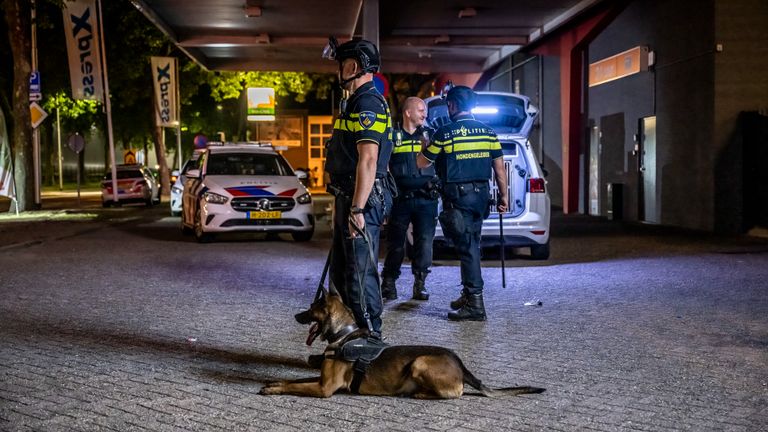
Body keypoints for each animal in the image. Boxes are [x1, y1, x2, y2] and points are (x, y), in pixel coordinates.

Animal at [260, 288, 544, 400]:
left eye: (310, 309)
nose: (296, 316)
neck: (344, 334)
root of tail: (461, 364)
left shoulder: (324, 388)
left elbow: (296, 387)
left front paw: (275, 389)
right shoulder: (320, 380)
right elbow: (296, 380)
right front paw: (274, 383)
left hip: (420, 362)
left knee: (456, 393)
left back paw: (418, 393)